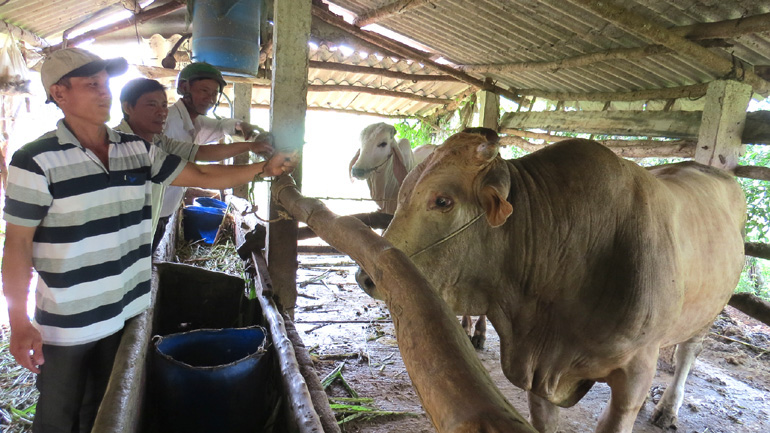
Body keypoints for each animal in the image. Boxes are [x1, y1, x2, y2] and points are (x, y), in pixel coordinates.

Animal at [356, 131, 744, 432]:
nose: (365, 275)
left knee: (686, 353)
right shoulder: (537, 372)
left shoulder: (635, 372)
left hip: (708, 312)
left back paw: (667, 408)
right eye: (404, 192)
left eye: (442, 200)